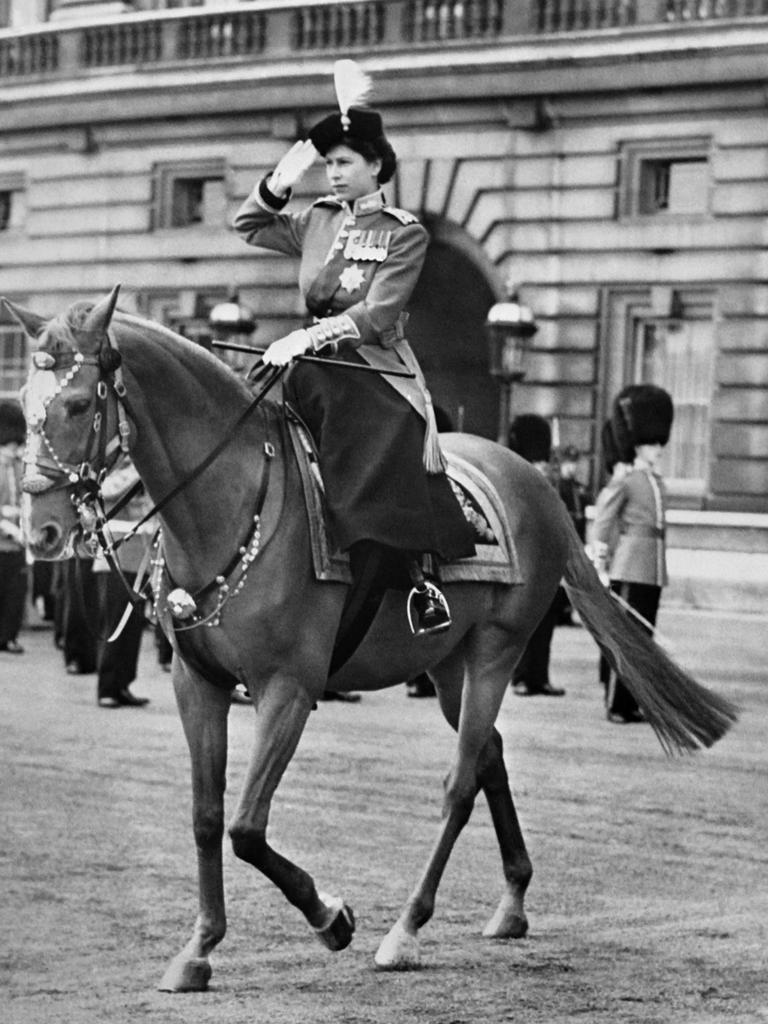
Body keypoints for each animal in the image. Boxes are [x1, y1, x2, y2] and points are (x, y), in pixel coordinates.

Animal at [4, 288, 741, 991]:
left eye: (76, 402)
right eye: (26, 404)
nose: (43, 530)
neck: (227, 506)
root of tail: (531, 478)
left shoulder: (288, 689)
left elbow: (246, 826)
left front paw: (330, 917)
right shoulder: (199, 683)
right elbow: (208, 818)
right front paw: (200, 948)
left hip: (496, 651)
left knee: (460, 782)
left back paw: (407, 929)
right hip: (446, 665)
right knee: (490, 757)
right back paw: (511, 902)